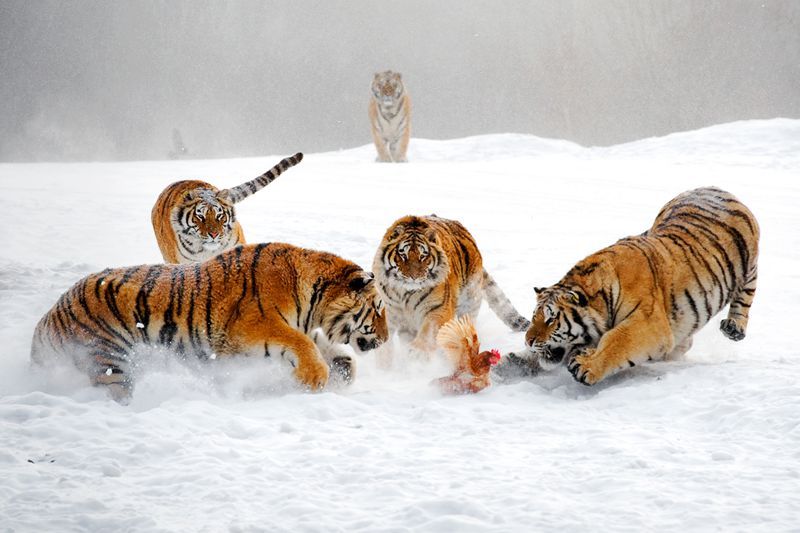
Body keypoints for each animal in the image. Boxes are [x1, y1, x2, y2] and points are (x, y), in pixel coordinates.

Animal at [26, 241, 386, 400]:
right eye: (379, 308)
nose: (383, 339)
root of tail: (49, 316)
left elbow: (319, 345)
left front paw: (341, 367)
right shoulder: (252, 327)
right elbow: (302, 342)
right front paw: (315, 377)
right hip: (110, 362)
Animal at [374, 213, 532, 358]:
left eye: (423, 256)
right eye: (403, 255)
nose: (414, 277)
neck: (405, 293)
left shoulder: (438, 309)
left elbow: (427, 332)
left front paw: (416, 352)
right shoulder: (387, 311)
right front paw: (385, 363)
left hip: (469, 301)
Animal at [510, 185, 760, 384]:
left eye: (551, 320)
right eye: (534, 318)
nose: (528, 340)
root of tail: (717, 188)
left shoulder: (648, 322)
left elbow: (617, 341)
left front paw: (587, 365)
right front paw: (515, 361)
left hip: (749, 268)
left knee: (745, 297)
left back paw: (734, 327)